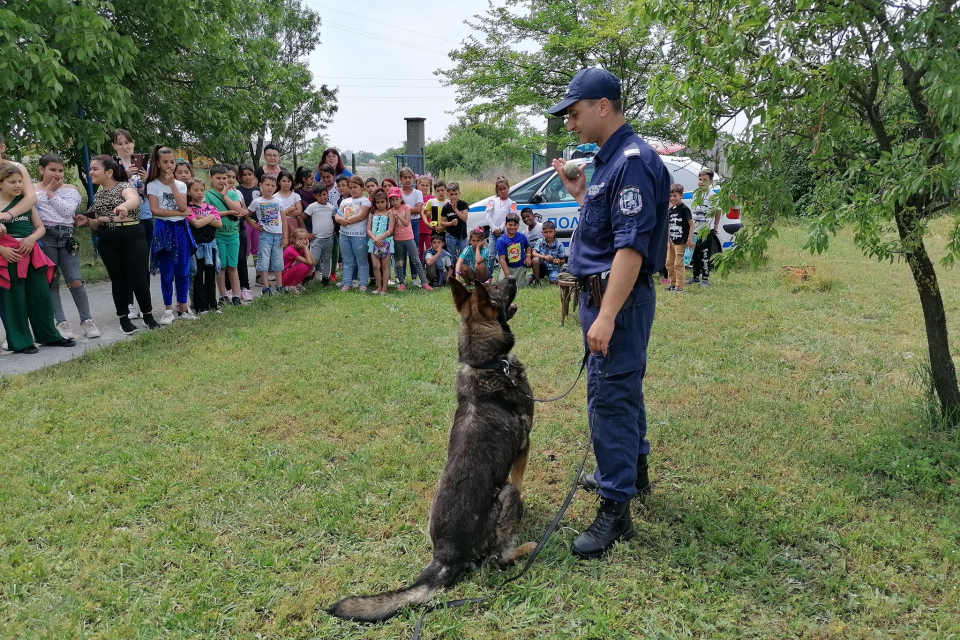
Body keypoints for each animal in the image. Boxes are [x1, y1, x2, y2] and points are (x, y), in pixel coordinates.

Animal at [328, 276, 540, 624]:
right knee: (496, 559)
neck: (484, 364)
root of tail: (446, 554)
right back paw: (527, 548)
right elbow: (520, 480)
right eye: (496, 289)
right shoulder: (524, 446)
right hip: (504, 501)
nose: (511, 277)